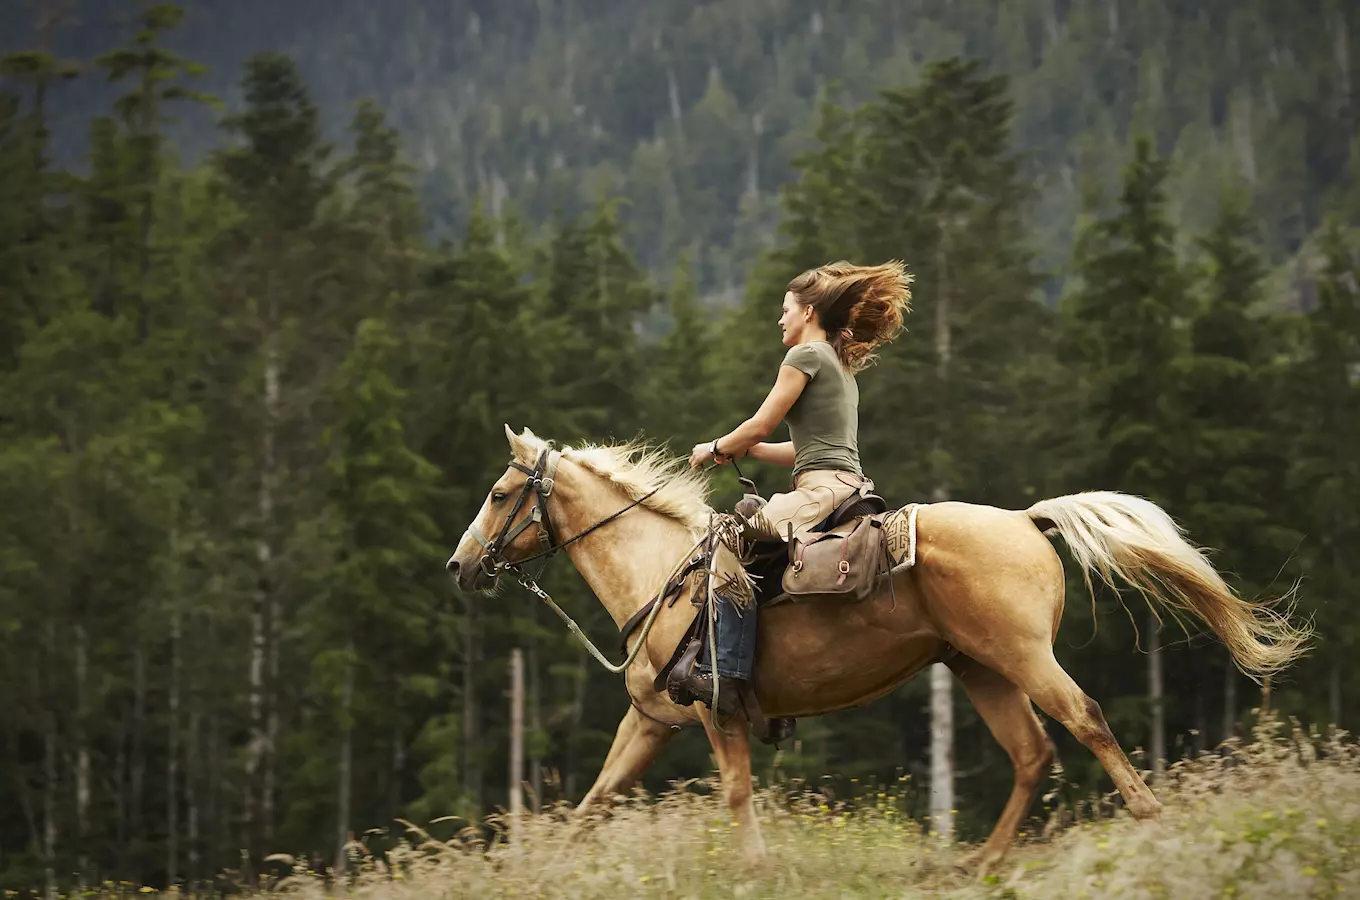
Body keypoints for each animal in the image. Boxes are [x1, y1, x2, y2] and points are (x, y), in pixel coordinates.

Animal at [446, 429, 1305, 875]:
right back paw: (975, 866)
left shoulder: (717, 713)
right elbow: (595, 799)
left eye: (498, 494)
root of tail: (1026, 519)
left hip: (1024, 658)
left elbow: (736, 794)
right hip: (980, 668)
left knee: (1084, 721)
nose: (460, 566)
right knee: (1031, 755)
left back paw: (1151, 823)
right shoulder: (652, 720)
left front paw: (755, 873)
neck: (664, 575)